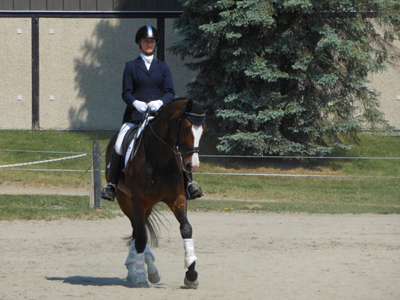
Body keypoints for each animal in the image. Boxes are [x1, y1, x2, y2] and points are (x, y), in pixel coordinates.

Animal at [104, 98, 206, 288]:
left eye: (203, 128)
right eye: (186, 127)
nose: (192, 165)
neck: (160, 158)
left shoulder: (177, 198)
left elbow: (186, 229)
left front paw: (191, 274)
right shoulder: (138, 201)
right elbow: (141, 237)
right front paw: (142, 277)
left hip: (147, 206)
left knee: (138, 230)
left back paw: (146, 270)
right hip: (125, 200)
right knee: (138, 232)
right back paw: (141, 271)